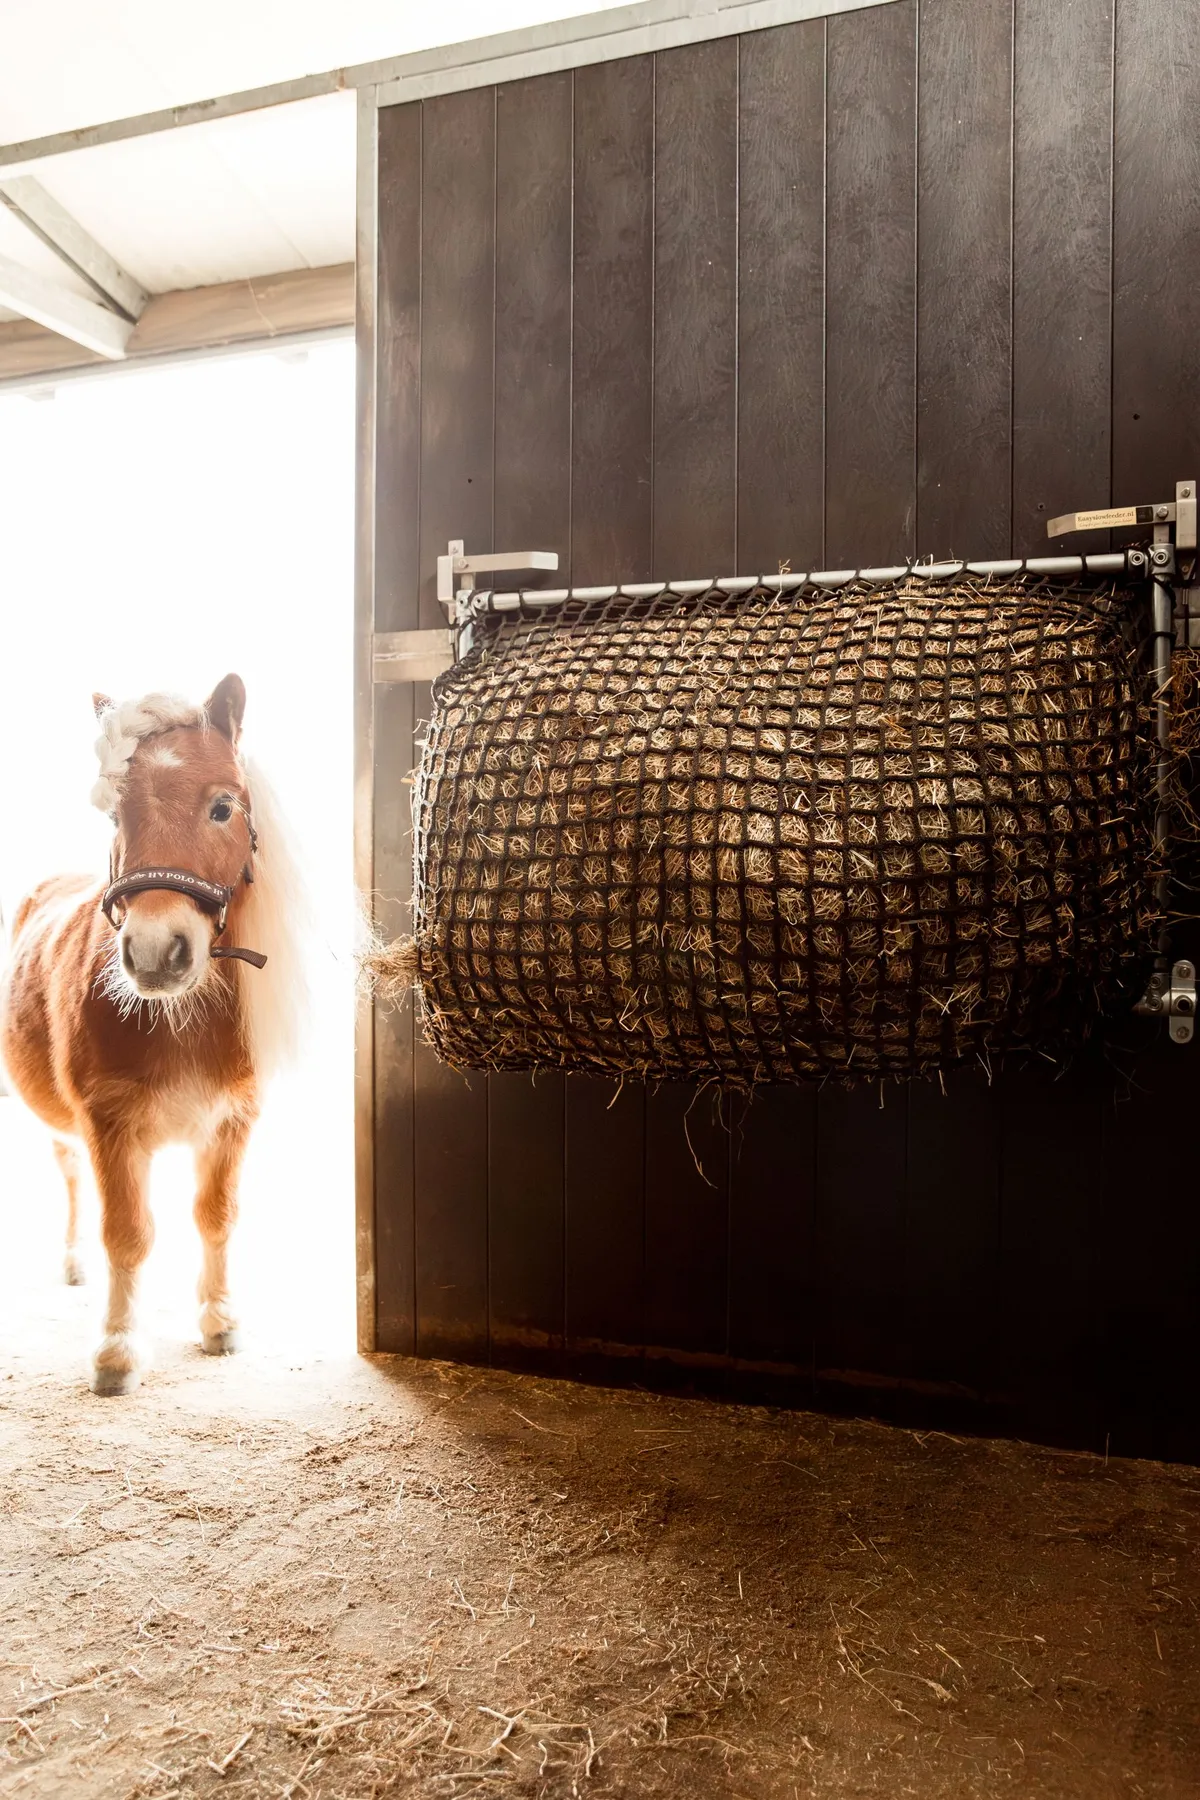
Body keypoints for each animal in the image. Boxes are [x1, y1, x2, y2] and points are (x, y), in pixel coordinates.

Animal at [0, 675, 306, 1394]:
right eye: (116, 817)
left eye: (223, 807)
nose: (155, 951)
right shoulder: (109, 1123)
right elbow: (128, 1234)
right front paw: (116, 1350)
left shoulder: (233, 1121)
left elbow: (216, 1216)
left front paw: (219, 1321)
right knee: (71, 1174)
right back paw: (74, 1261)